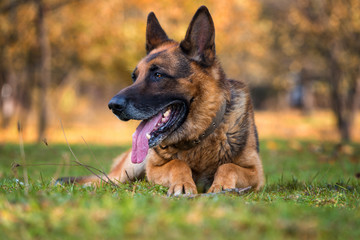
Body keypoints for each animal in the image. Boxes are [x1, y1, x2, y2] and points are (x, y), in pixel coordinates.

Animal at [61, 5, 264, 195]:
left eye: (158, 75)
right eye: (134, 77)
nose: (113, 106)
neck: (198, 137)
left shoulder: (257, 172)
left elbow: (228, 166)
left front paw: (221, 185)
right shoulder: (154, 167)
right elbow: (177, 164)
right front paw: (183, 184)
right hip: (128, 169)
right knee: (106, 179)